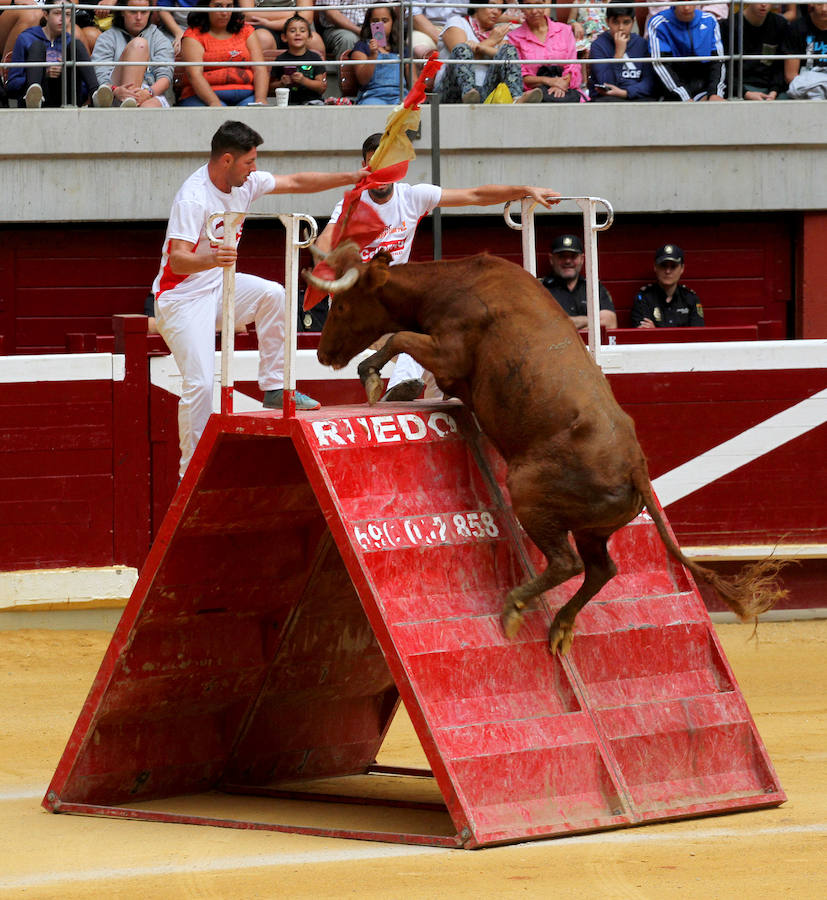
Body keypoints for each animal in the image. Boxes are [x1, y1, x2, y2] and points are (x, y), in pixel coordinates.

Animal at [308, 243, 784, 656]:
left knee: (567, 563)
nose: (323, 353)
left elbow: (401, 338)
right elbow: (404, 342)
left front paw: (372, 378)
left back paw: (515, 606)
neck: (452, 284)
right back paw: (561, 626)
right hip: (593, 527)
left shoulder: (447, 354)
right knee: (601, 568)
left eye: (343, 306)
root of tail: (636, 468)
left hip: (529, 493)